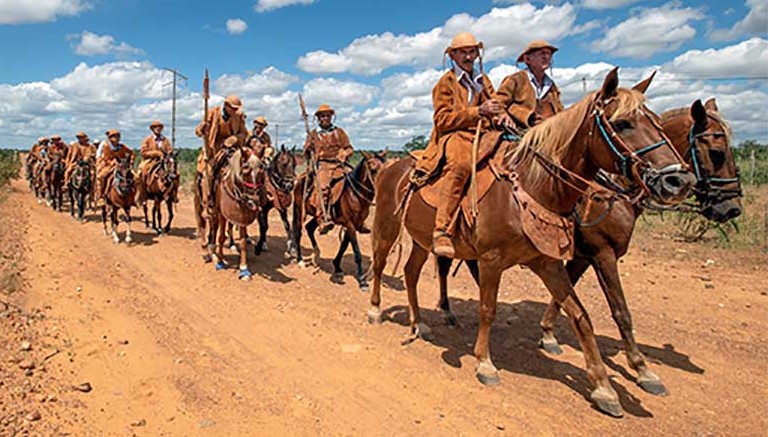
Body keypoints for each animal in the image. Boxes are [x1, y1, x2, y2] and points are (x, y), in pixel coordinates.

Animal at [292, 150, 388, 290]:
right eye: (373, 169)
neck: (354, 194)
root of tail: (301, 179)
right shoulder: (350, 224)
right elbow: (357, 252)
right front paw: (362, 280)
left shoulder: (354, 224)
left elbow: (344, 246)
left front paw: (337, 267)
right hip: (299, 211)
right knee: (298, 233)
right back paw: (300, 260)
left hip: (319, 216)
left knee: (309, 228)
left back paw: (317, 256)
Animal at [366, 69, 696, 416]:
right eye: (622, 124)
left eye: (656, 122)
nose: (678, 180)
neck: (533, 186)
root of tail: (390, 167)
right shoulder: (494, 259)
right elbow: (488, 309)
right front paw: (485, 363)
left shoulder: (549, 263)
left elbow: (581, 316)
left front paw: (604, 387)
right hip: (387, 226)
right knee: (379, 264)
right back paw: (375, 310)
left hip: (421, 239)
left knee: (410, 272)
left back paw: (419, 324)